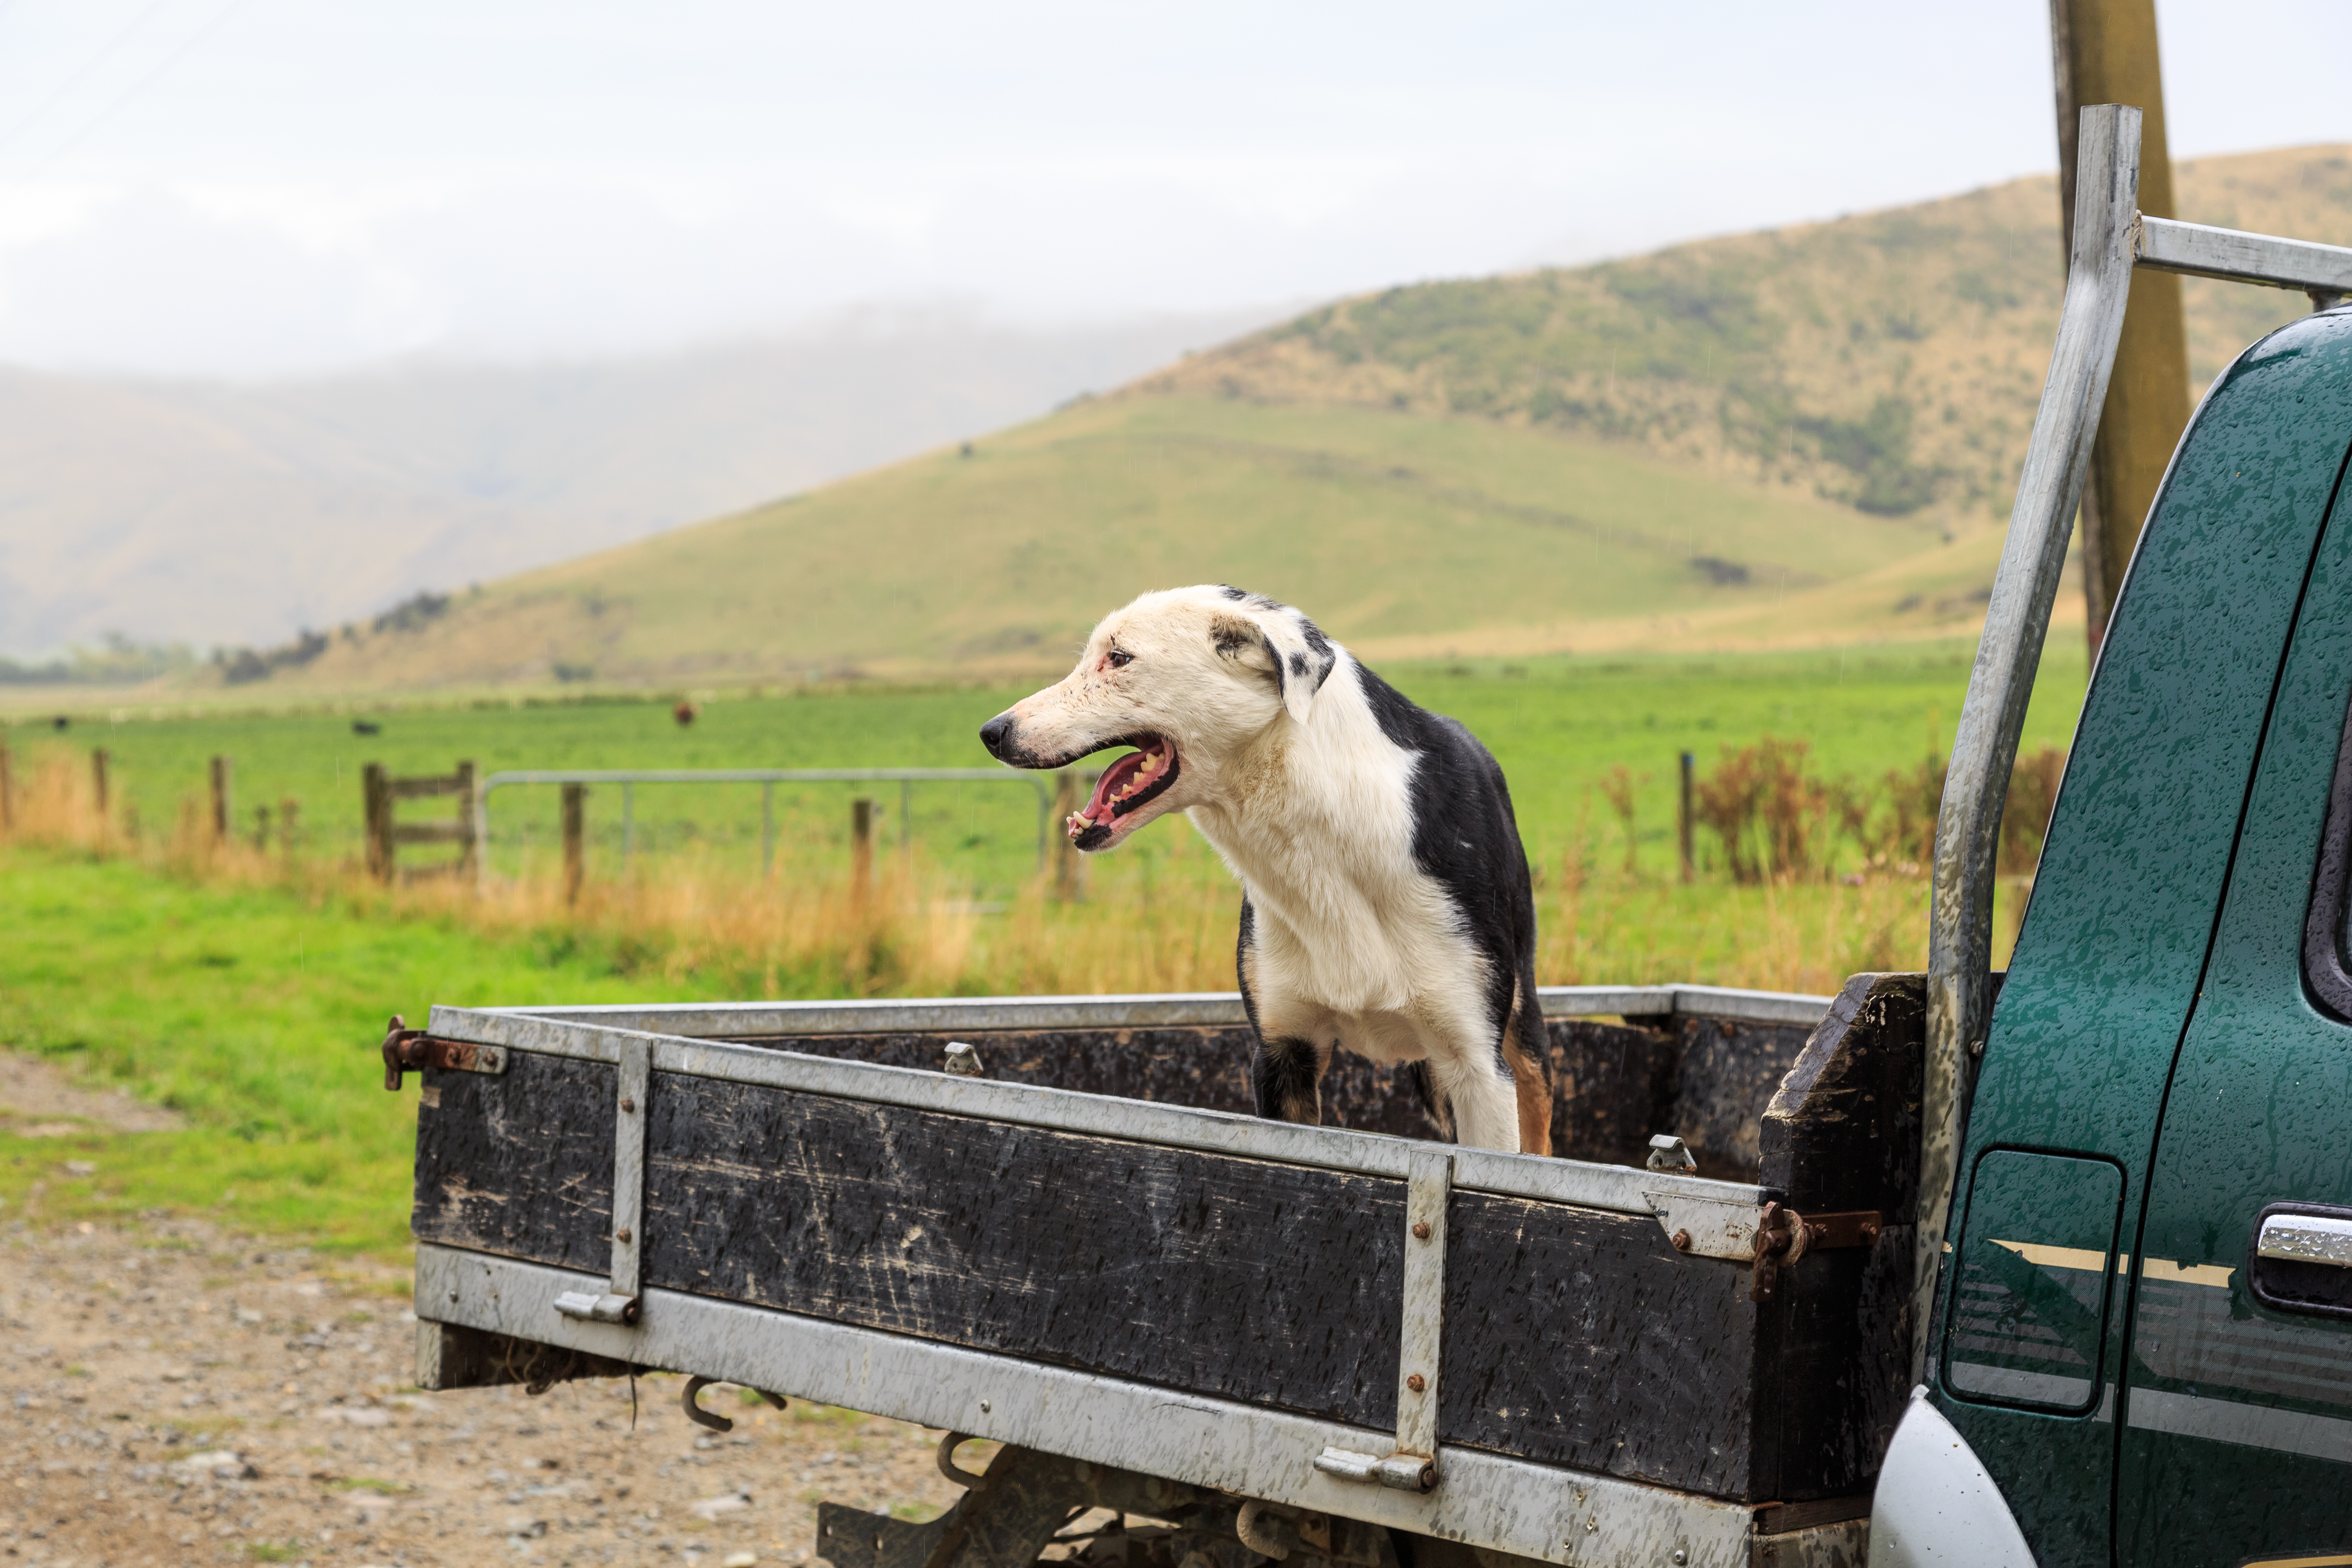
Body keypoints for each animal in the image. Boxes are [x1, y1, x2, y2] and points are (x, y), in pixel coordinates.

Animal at [983, 585, 1552, 1152]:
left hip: (1523, 1034)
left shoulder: (1478, 1068)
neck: (1326, 843)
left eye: (1119, 658)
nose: (992, 732)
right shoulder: (1282, 1053)